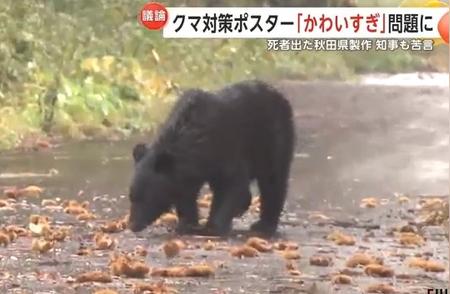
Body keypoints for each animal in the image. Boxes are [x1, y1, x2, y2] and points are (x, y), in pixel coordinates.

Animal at [127, 80, 296, 237]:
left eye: (148, 198)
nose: (133, 225)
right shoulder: (188, 170)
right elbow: (185, 193)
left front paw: (213, 227)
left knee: (274, 180)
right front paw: (186, 224)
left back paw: (264, 225)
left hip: (273, 139)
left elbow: (231, 182)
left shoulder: (225, 147)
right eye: (132, 196)